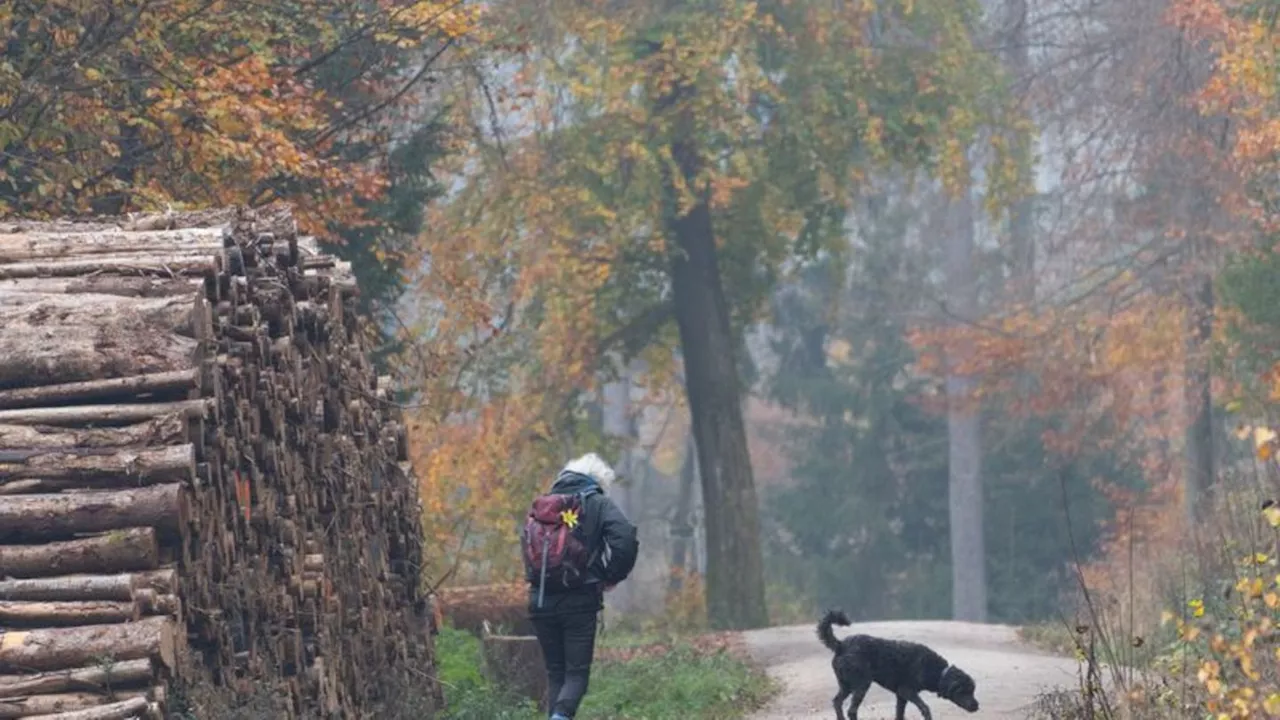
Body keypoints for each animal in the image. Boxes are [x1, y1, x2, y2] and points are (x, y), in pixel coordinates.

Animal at [819, 607, 977, 717]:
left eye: (972, 690)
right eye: (966, 690)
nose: (977, 706)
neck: (938, 673)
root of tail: (841, 645)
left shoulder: (901, 697)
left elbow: (899, 715)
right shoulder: (907, 691)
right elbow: (925, 708)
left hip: (845, 685)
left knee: (837, 702)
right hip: (862, 684)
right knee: (851, 710)